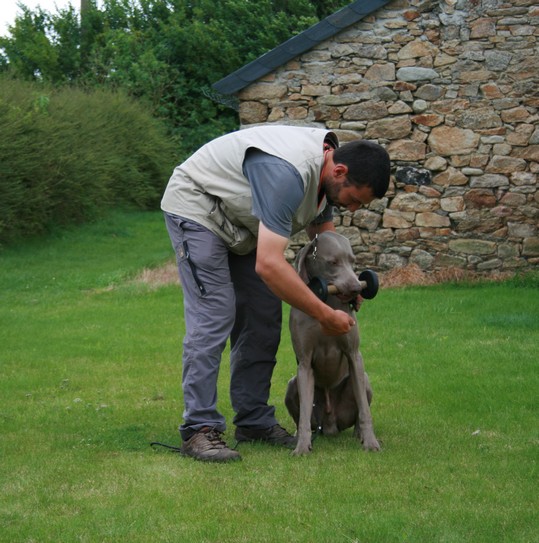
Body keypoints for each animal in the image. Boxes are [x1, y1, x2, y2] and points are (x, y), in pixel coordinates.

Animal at [286, 231, 380, 454]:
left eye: (353, 261)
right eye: (333, 262)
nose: (357, 288)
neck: (326, 302)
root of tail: (329, 426)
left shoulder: (354, 355)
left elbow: (365, 411)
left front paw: (371, 442)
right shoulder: (304, 362)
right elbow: (303, 415)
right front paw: (302, 447)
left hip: (364, 380)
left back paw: (359, 435)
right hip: (291, 385)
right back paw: (296, 436)